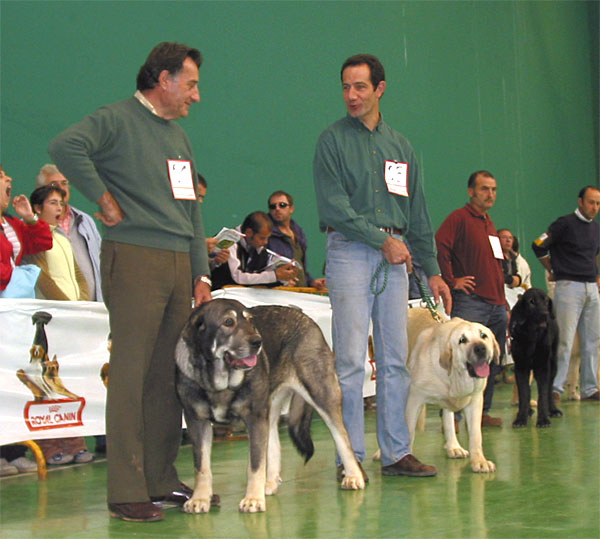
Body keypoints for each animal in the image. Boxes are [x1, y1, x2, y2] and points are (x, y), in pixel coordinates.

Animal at [406, 308, 500, 472]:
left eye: (483, 335)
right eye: (462, 340)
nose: (480, 348)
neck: (454, 374)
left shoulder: (475, 401)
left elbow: (476, 435)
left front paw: (479, 461)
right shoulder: (414, 399)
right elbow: (409, 431)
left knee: (448, 417)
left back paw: (453, 447)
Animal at [510, 288, 564, 428]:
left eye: (546, 300)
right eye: (531, 302)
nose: (545, 314)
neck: (532, 336)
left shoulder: (543, 367)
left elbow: (543, 394)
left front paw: (543, 419)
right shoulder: (521, 367)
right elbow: (524, 393)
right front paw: (521, 418)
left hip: (553, 364)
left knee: (550, 388)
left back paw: (553, 410)